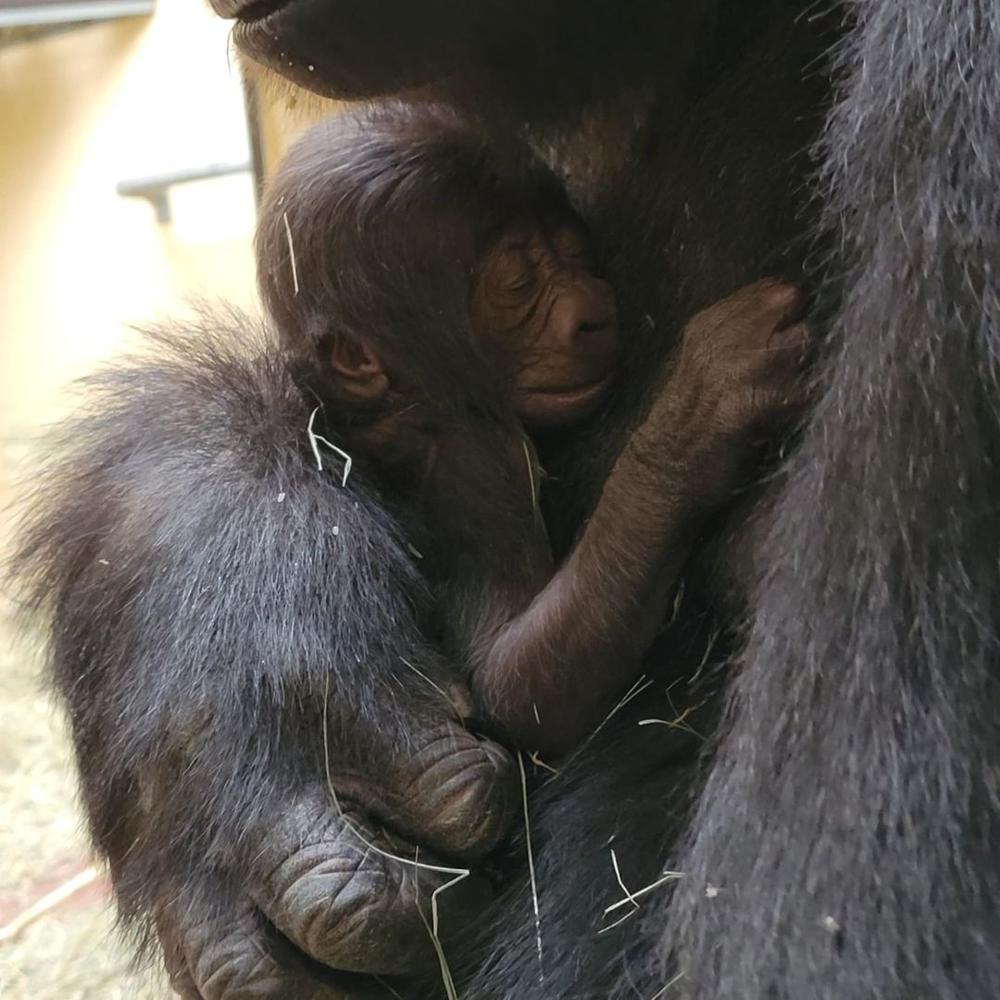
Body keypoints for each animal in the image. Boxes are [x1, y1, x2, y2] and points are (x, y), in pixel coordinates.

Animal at [258, 105, 804, 752]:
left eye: (574, 252)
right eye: (516, 282)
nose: (594, 312)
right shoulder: (477, 455)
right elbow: (515, 682)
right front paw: (696, 415)